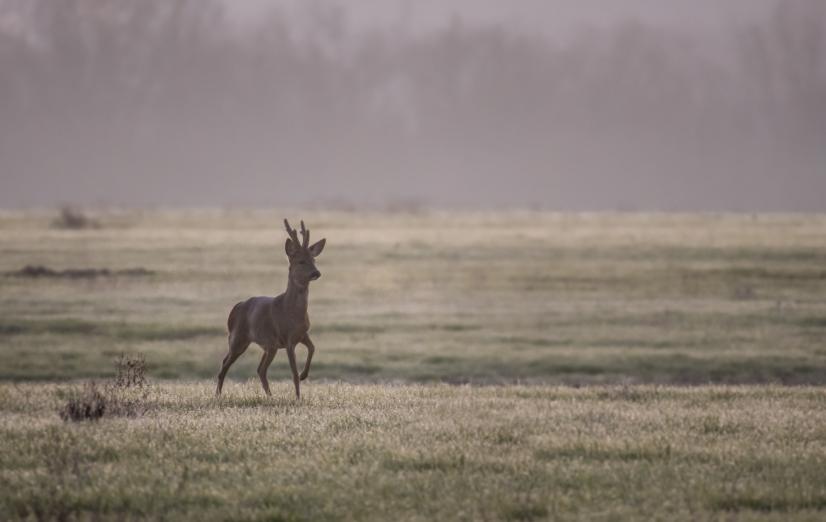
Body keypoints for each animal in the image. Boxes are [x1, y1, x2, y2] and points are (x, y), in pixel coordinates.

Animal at [216, 217, 326, 396]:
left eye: (314, 260)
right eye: (301, 261)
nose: (316, 273)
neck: (292, 312)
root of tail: (236, 308)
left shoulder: (302, 333)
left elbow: (313, 348)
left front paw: (304, 375)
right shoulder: (287, 338)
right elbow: (293, 373)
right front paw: (298, 396)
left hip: (269, 346)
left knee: (260, 369)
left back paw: (270, 395)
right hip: (238, 337)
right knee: (225, 365)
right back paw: (218, 395)